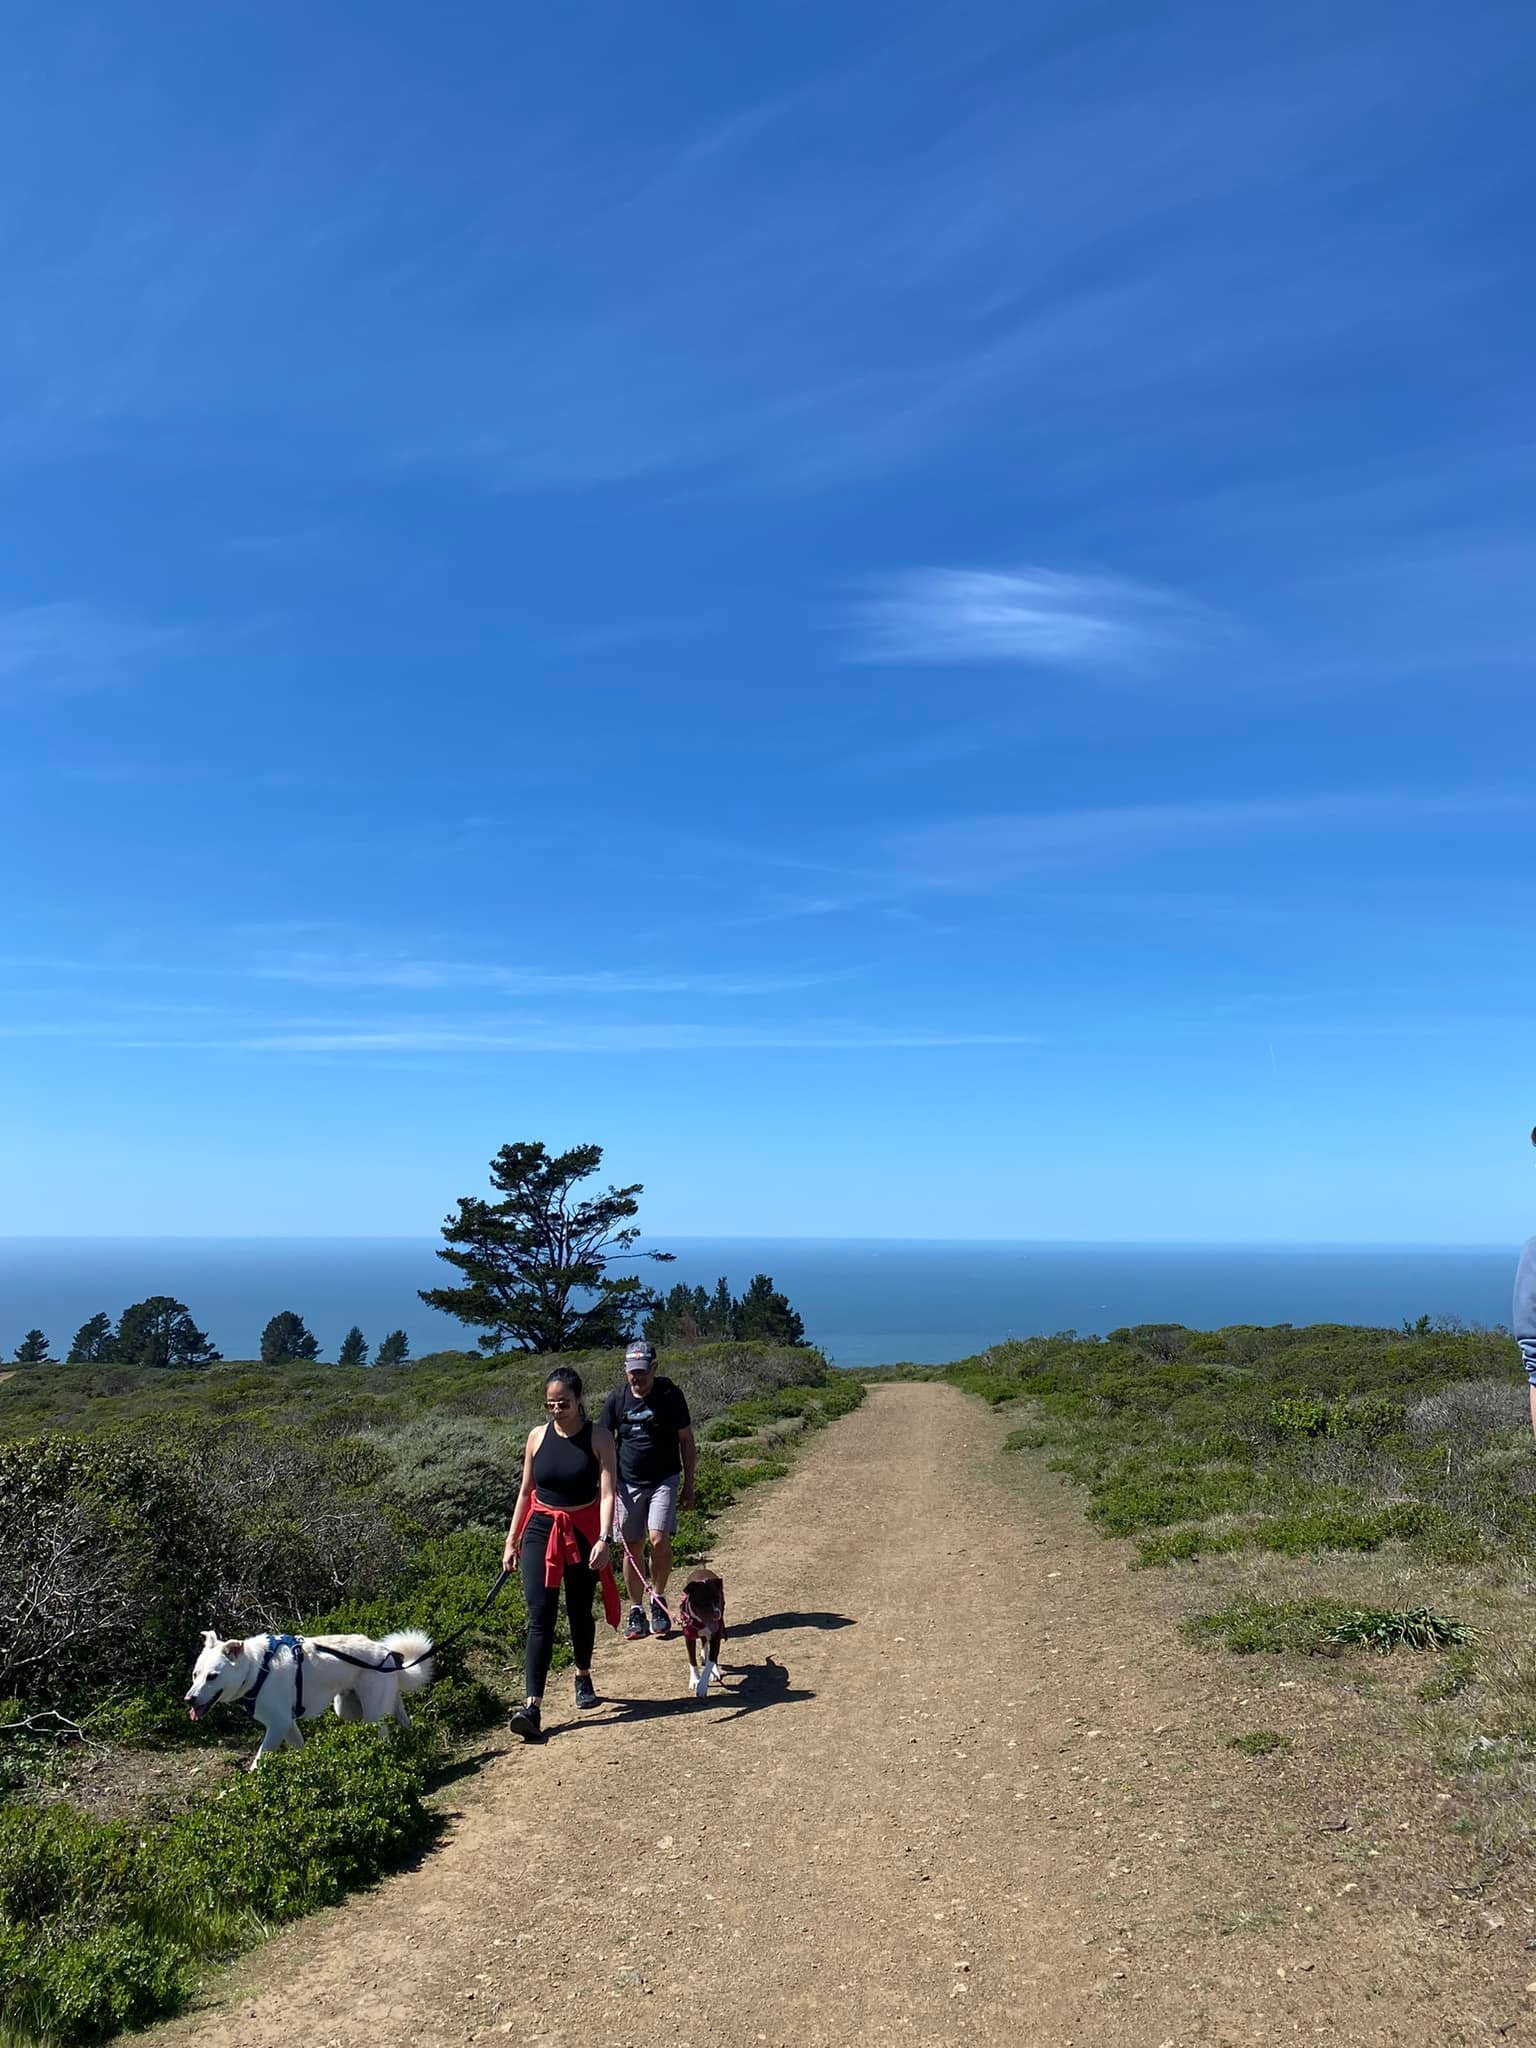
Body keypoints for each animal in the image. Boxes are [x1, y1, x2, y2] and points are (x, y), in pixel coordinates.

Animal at [185, 1622, 434, 1769]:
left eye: (212, 1676)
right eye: (195, 1675)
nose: (188, 1700)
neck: (256, 1670)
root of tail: (386, 1652)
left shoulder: (278, 1725)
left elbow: (258, 1763)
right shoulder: (288, 1725)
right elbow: (300, 1749)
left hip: (371, 1713)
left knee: (383, 1731)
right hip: (348, 1708)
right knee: (398, 1708)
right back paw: (410, 1734)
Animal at [679, 1564, 729, 1695]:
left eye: (718, 1598)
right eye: (703, 1601)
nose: (717, 1613)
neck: (699, 1622)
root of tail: (703, 1568)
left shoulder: (715, 1637)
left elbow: (711, 1662)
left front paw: (702, 1685)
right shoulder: (689, 1639)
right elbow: (692, 1661)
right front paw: (695, 1680)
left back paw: (714, 1671)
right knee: (704, 1642)